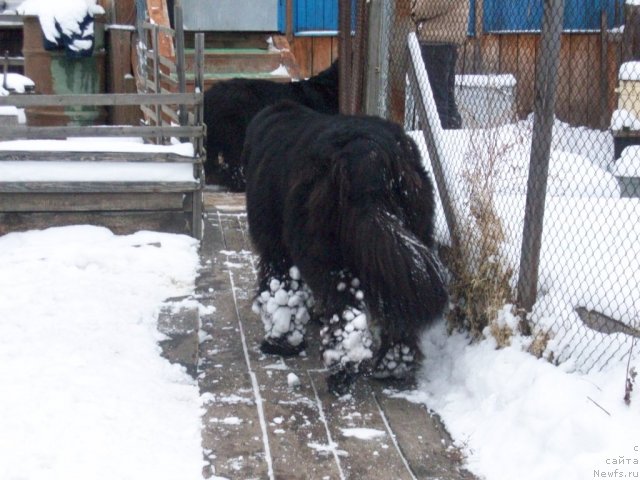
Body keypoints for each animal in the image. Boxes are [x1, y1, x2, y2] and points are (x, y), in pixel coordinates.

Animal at [242, 101, 448, 394]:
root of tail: (370, 153)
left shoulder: (276, 249)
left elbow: (280, 293)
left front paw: (281, 342)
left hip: (327, 253)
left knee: (347, 314)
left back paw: (342, 372)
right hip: (405, 245)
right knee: (399, 309)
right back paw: (392, 367)